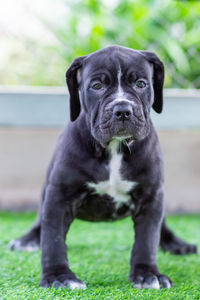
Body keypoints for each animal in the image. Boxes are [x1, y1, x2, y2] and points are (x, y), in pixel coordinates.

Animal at [10, 45, 196, 290]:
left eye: (141, 84)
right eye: (97, 86)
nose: (123, 109)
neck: (114, 149)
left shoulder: (151, 195)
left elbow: (147, 239)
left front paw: (148, 273)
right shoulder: (59, 196)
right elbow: (53, 239)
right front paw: (59, 276)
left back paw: (175, 244)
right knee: (41, 220)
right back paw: (28, 240)